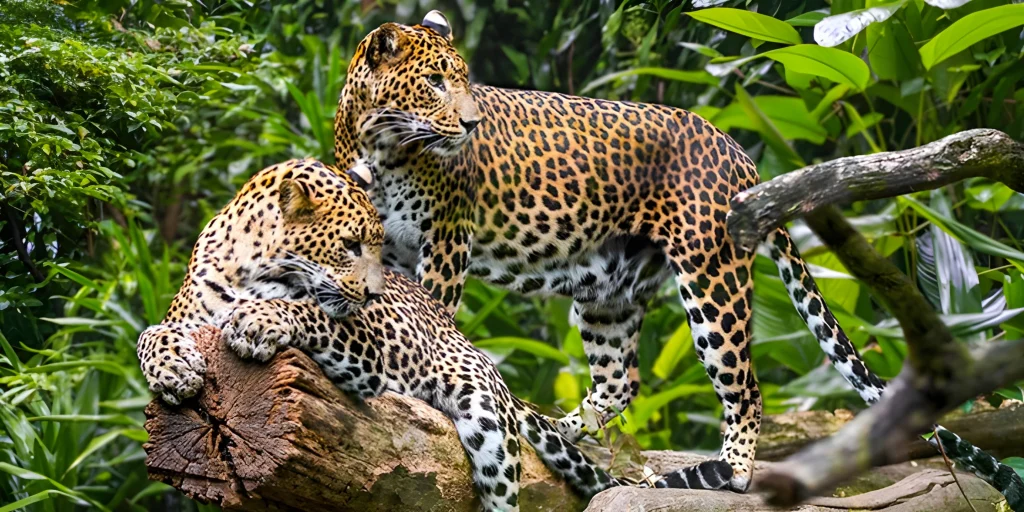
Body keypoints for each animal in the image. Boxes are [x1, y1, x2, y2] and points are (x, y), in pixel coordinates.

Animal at [137, 157, 733, 511]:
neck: (250, 266)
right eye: (350, 245)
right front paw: (173, 369)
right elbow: (151, 333)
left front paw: (261, 321)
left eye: (378, 246)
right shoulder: (188, 315)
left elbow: (309, 312)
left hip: (486, 418)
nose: (375, 294)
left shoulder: (368, 348)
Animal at [331, 10, 1020, 497]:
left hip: (711, 275)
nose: (472, 124)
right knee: (620, 382)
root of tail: (735, 148)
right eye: (434, 84)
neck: (380, 144)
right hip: (607, 289)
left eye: (465, 82)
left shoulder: (445, 240)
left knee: (744, 384)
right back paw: (558, 428)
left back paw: (729, 471)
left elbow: (433, 316)